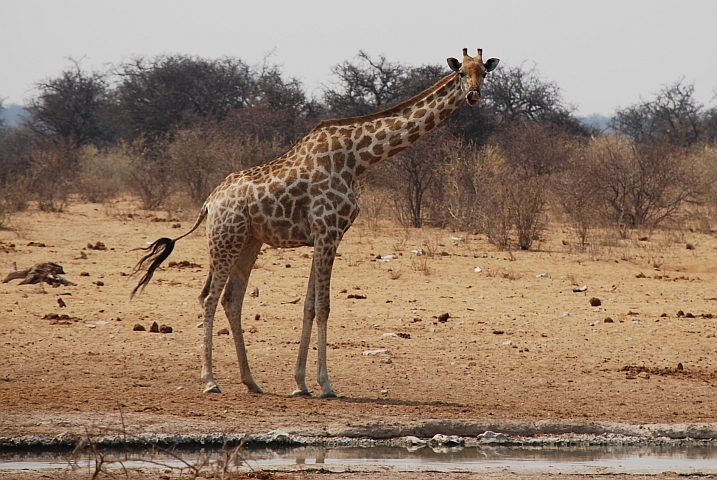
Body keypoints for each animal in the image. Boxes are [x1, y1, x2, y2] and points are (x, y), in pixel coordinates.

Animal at [133, 47, 498, 398]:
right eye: (461, 72)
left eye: (484, 72)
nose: (474, 95)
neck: (357, 159)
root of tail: (209, 203)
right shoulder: (329, 233)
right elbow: (323, 306)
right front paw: (326, 385)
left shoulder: (325, 236)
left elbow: (308, 306)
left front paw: (300, 383)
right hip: (226, 238)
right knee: (208, 297)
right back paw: (210, 381)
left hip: (249, 241)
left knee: (231, 299)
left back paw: (251, 381)